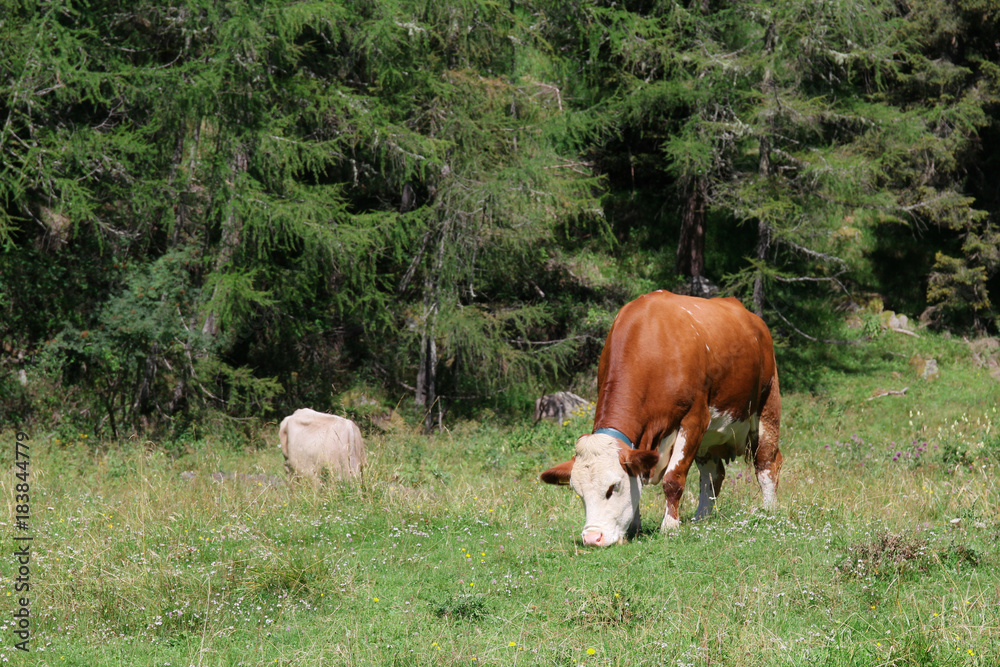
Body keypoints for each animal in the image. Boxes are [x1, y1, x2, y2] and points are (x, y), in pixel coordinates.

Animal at [540, 290, 782, 547]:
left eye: (613, 487)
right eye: (579, 493)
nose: (592, 537)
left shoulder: (694, 418)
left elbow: (673, 479)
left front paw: (670, 526)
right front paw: (633, 528)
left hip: (767, 404)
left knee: (766, 463)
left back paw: (768, 511)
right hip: (709, 438)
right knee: (712, 474)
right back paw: (702, 517)